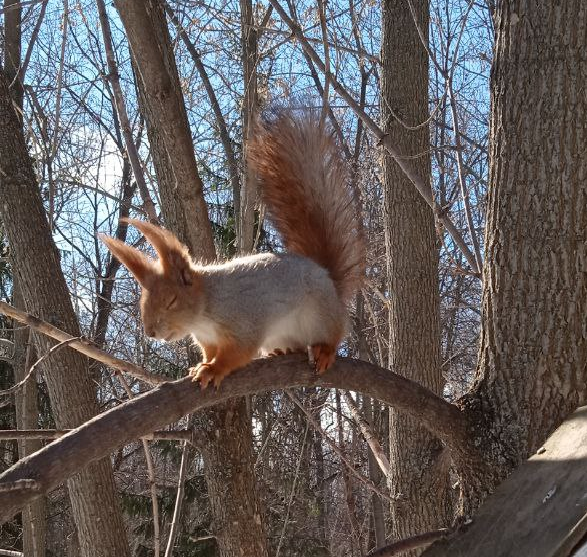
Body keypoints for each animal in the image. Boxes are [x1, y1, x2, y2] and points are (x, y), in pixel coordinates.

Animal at [101, 107, 368, 386]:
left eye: (172, 300)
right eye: (144, 302)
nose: (151, 332)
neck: (206, 307)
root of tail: (326, 276)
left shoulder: (243, 322)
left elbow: (238, 352)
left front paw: (212, 369)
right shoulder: (207, 339)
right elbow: (210, 351)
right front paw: (201, 365)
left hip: (321, 315)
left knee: (334, 333)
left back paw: (325, 350)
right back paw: (282, 350)